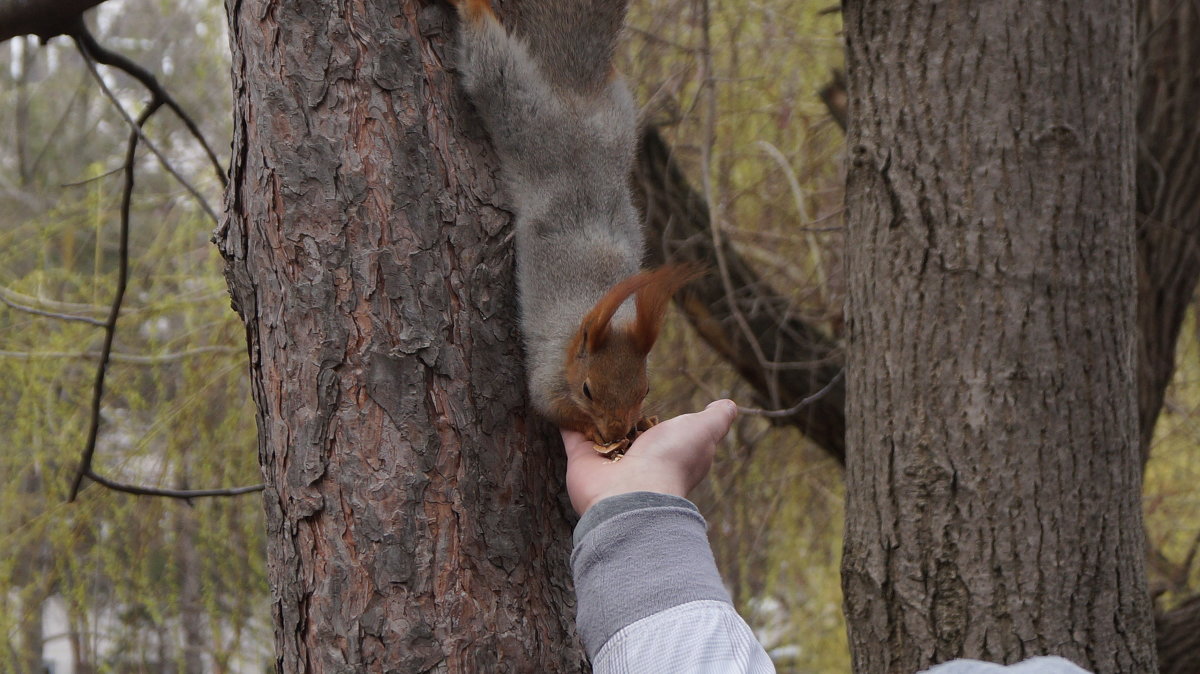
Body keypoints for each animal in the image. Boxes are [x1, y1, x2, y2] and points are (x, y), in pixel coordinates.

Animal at [448, 0, 696, 446]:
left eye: (645, 389)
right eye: (587, 389)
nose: (618, 429)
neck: (601, 313)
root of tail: (577, 93)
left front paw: (644, 423)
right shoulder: (548, 373)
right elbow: (549, 405)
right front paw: (590, 428)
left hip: (619, 123)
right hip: (529, 122)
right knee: (494, 69)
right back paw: (471, 7)